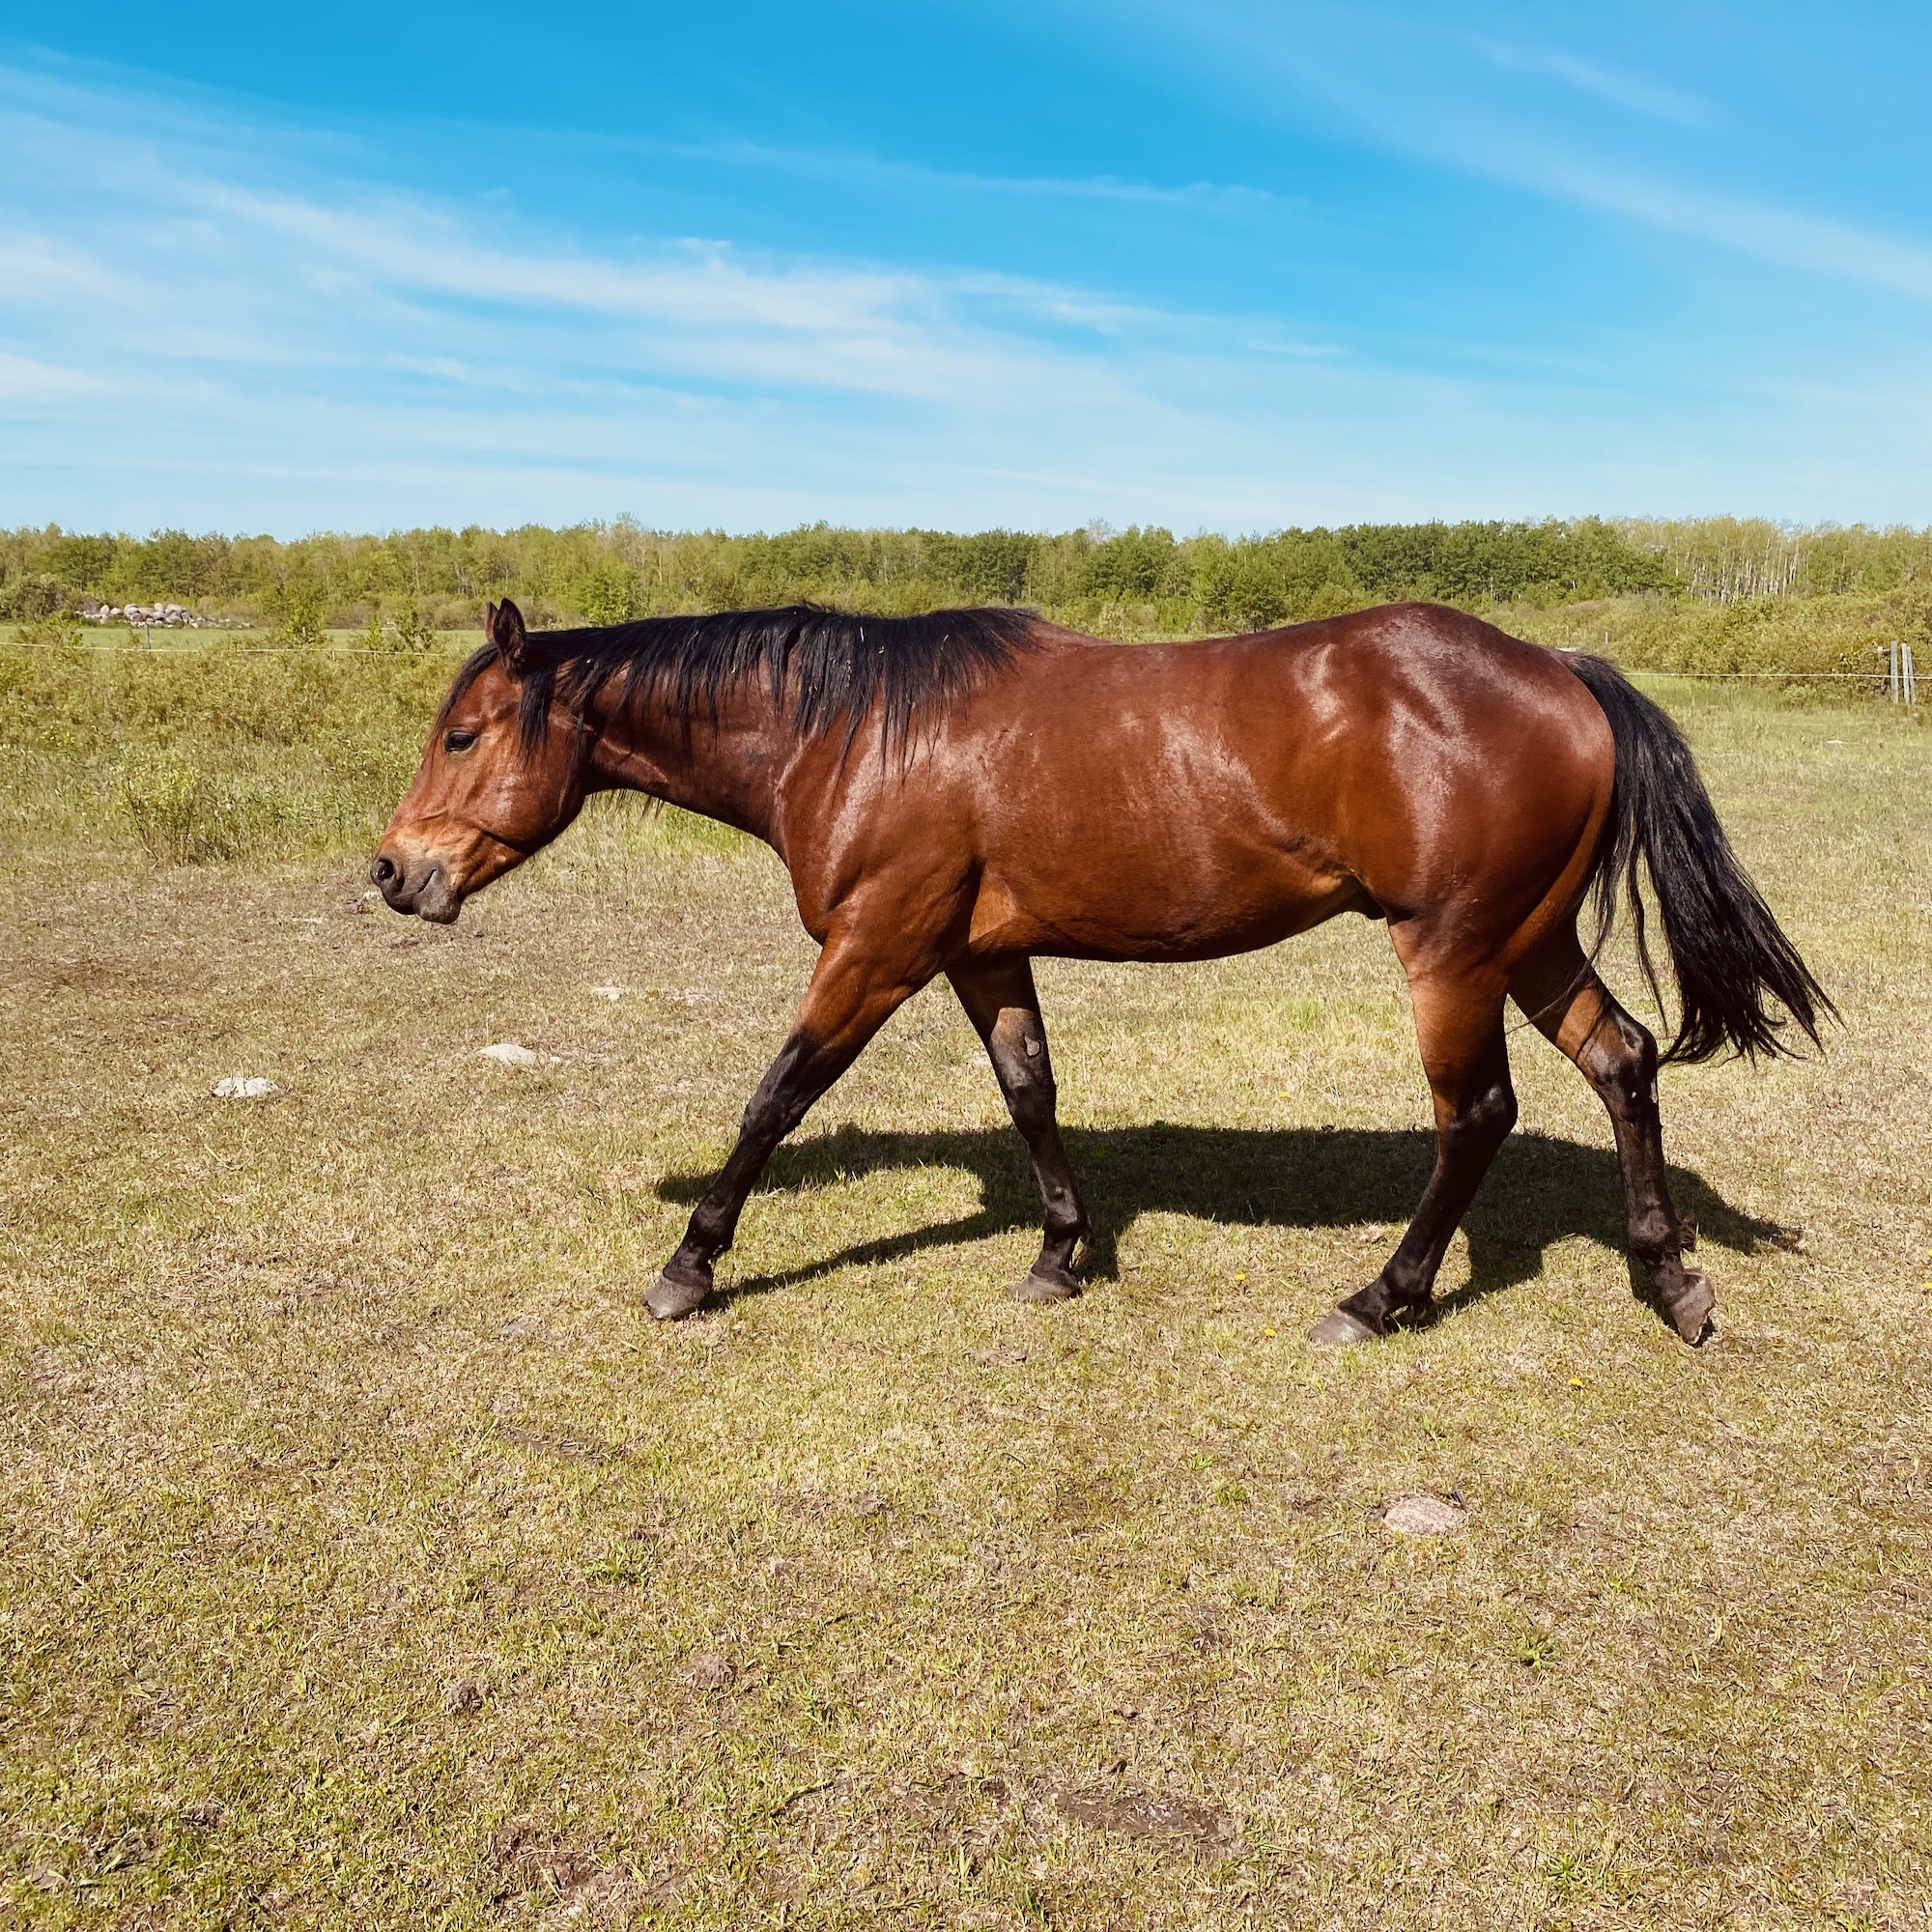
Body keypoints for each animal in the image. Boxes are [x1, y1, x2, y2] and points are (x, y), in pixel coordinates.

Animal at [365, 599, 1824, 1345]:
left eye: (463, 732)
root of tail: (1559, 671)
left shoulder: (877, 948)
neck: (857, 729)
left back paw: (1380, 1297)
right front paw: (1061, 1253)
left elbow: (776, 1095)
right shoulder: (980, 952)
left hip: (1454, 950)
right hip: (1528, 939)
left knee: (1477, 1114)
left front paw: (689, 1264)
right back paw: (1669, 1281)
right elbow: (1031, 1094)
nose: (394, 872)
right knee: (1622, 1062)